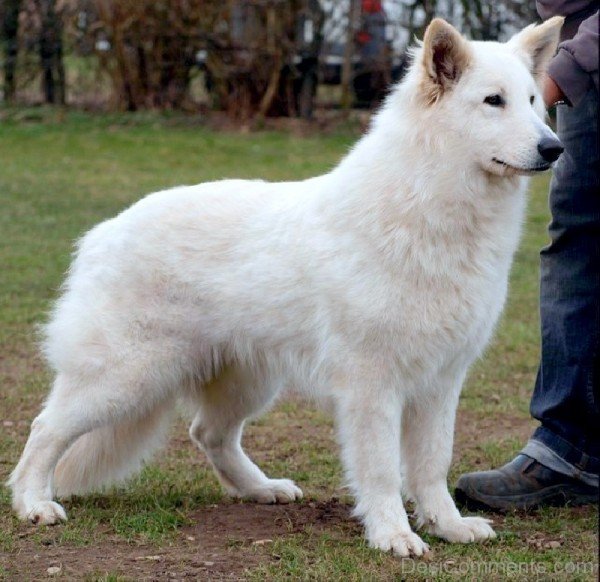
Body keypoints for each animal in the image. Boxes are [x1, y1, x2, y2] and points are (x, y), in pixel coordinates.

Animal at [9, 17, 564, 556]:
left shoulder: (441, 382)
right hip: (126, 378)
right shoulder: (372, 385)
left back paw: (260, 489)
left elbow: (432, 466)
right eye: (493, 101)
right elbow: (383, 470)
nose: (554, 148)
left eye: (532, 101)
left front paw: (446, 526)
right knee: (45, 428)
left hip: (245, 381)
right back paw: (34, 503)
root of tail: (102, 233)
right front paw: (392, 534)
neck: (428, 206)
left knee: (208, 434)